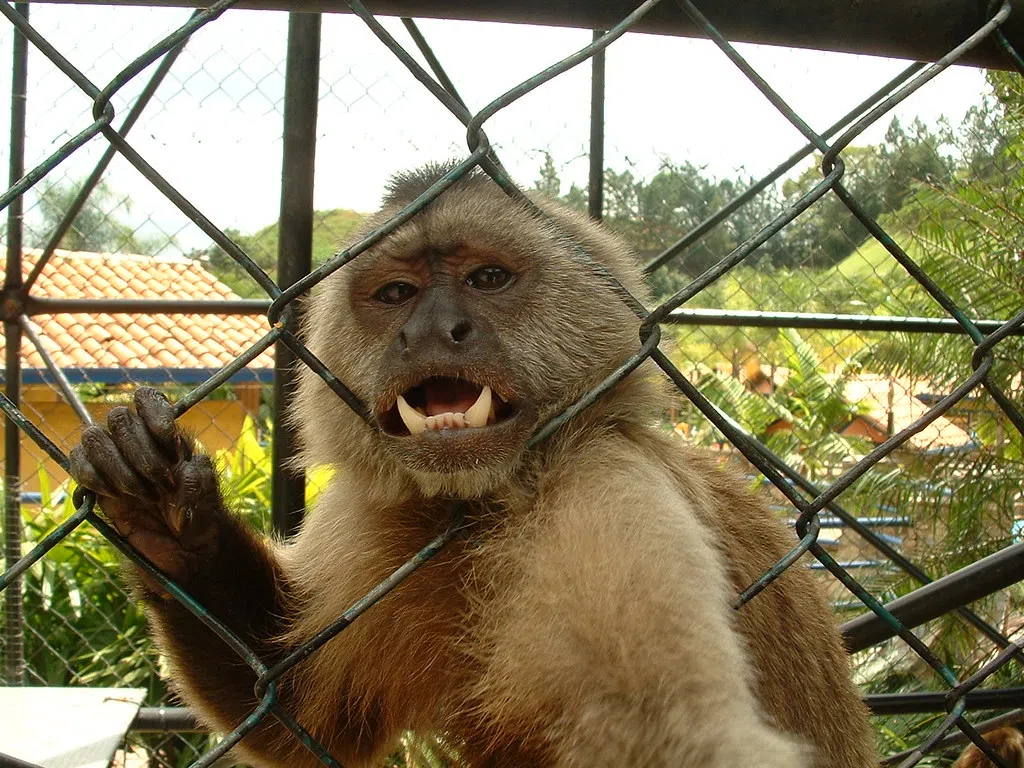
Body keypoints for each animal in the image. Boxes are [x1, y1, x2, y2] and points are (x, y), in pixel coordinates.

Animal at [68, 162, 877, 767]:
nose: (432, 330)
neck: (484, 506)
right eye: (397, 294)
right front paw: (164, 518)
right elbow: (298, 709)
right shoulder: (383, 518)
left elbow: (674, 734)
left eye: (486, 279)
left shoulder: (602, 483)